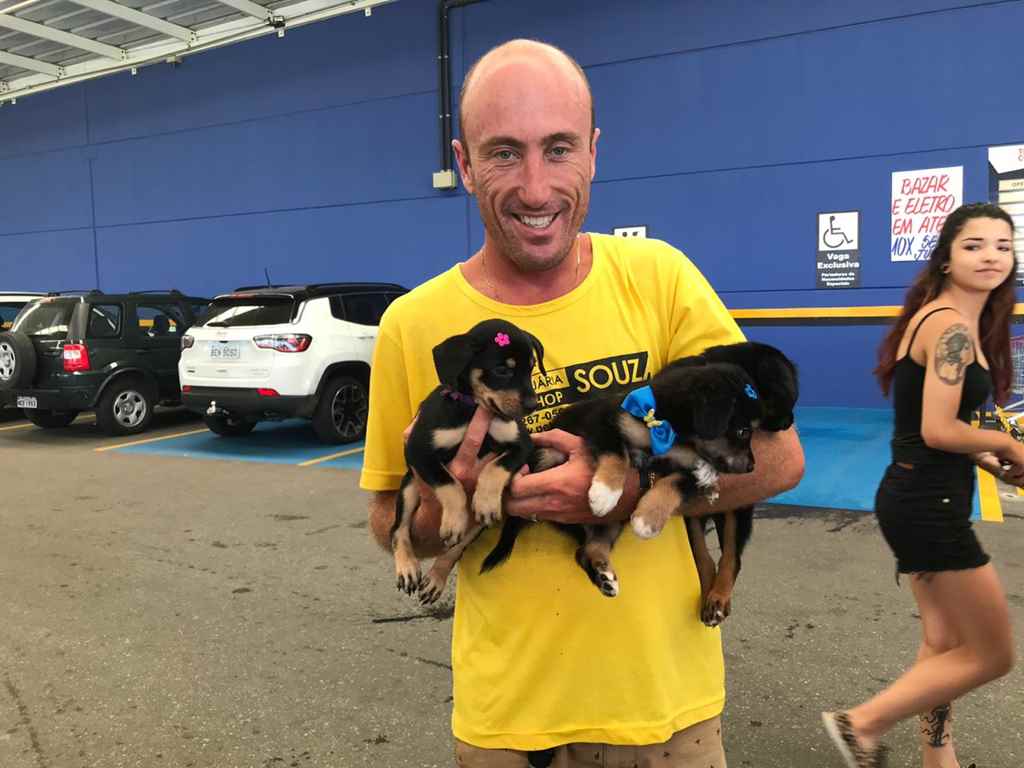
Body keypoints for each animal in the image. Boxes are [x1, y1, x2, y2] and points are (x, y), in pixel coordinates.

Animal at [390, 319, 545, 600]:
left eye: (530, 368)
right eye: (501, 370)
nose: (532, 405)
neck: (473, 408)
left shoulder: (523, 445)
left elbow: (494, 468)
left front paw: (485, 502)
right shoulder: (418, 452)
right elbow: (451, 485)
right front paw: (454, 520)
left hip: (477, 527)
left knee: (455, 548)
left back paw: (436, 578)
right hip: (409, 486)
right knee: (398, 530)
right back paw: (407, 568)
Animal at [481, 357, 764, 599]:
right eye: (743, 431)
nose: (752, 466)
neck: (672, 431)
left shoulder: (687, 468)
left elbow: (673, 483)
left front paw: (647, 520)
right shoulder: (605, 422)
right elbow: (617, 455)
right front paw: (605, 494)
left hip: (610, 525)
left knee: (586, 550)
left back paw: (604, 577)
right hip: (549, 454)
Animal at [664, 341, 798, 626]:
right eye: (776, 406)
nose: (788, 422)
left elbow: (725, 554)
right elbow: (700, 553)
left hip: (738, 508)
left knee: (731, 555)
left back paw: (718, 597)